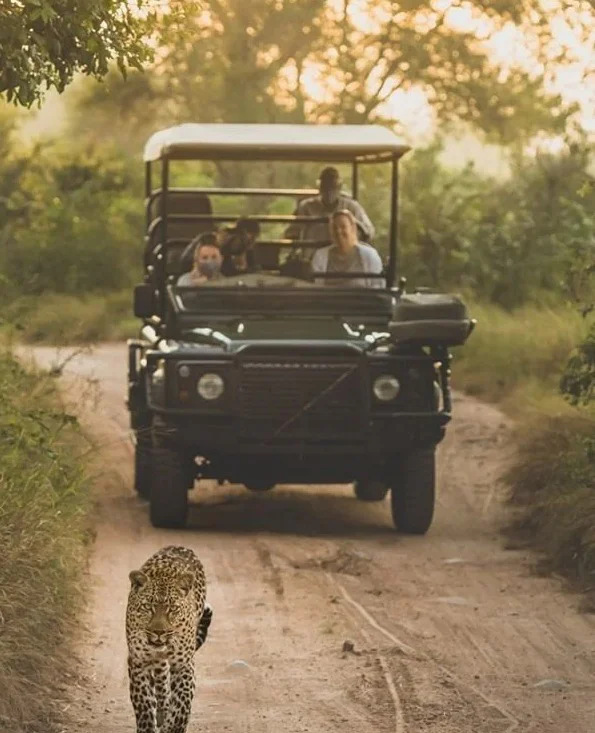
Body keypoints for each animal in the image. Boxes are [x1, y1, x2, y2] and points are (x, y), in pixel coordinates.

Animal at [126, 545, 213, 733]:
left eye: (172, 609)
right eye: (148, 607)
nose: (159, 632)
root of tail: (180, 546)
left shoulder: (184, 664)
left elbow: (182, 703)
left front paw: (174, 726)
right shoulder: (138, 662)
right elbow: (143, 704)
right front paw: (148, 726)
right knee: (161, 683)